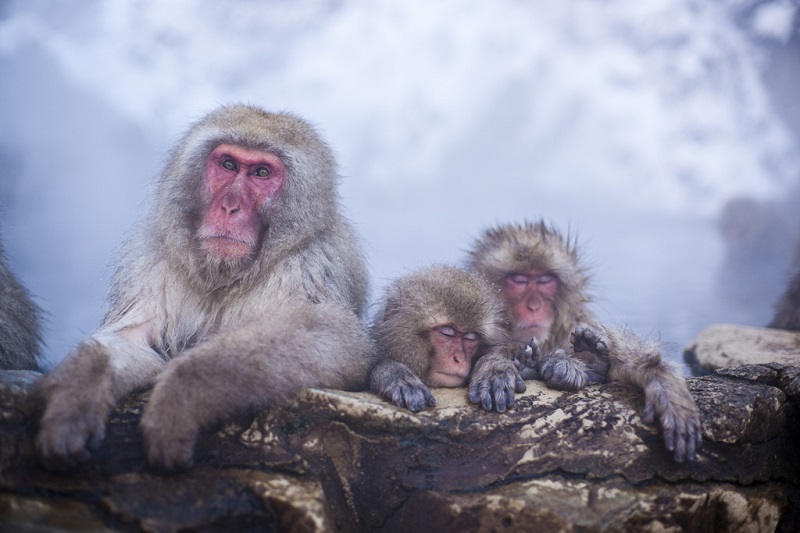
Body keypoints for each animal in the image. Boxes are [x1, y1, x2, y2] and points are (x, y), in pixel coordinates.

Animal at [466, 220, 704, 462]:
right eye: (519, 280)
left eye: (545, 281)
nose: (534, 307)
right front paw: (496, 366)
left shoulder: (581, 322)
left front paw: (662, 383)